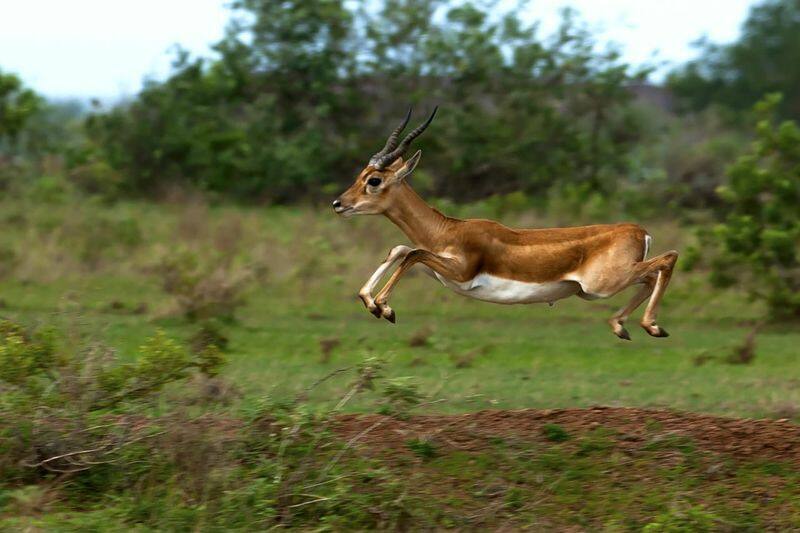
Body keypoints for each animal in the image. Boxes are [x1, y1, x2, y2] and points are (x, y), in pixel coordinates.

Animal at [334, 108, 680, 338]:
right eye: (361, 174)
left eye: (374, 180)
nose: (338, 204)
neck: (447, 230)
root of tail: (639, 231)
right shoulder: (438, 269)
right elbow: (401, 249)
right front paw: (371, 303)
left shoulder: (459, 272)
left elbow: (412, 253)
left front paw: (384, 308)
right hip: (604, 285)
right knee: (651, 276)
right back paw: (623, 326)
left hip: (601, 285)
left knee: (668, 258)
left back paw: (652, 326)